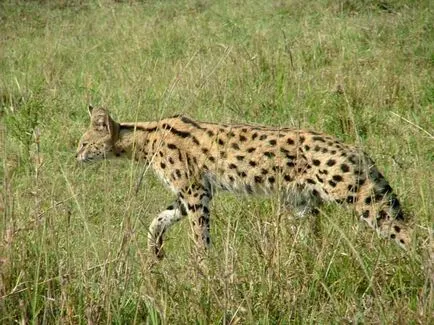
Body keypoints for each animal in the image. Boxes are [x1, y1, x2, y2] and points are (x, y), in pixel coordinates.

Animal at [75, 105, 410, 256]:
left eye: (85, 143)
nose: (74, 155)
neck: (147, 138)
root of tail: (354, 149)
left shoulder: (195, 192)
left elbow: (199, 235)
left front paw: (202, 270)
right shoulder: (191, 194)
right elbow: (158, 219)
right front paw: (154, 250)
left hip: (357, 197)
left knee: (407, 231)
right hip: (302, 204)